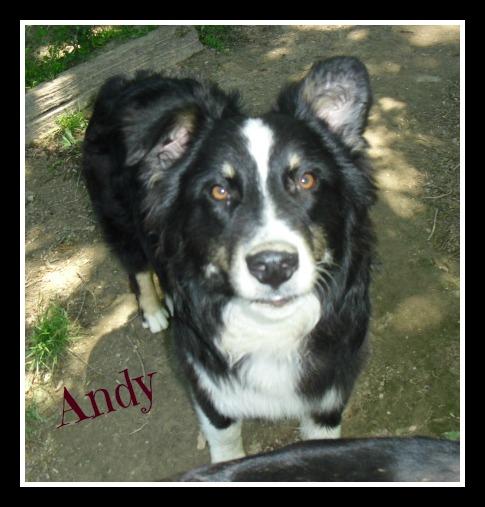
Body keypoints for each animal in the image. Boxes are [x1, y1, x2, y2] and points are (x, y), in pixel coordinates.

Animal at [82, 56, 378, 464]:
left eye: (306, 180)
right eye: (219, 190)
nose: (274, 266)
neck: (270, 327)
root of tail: (123, 82)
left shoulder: (330, 389)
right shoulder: (208, 384)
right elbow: (225, 440)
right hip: (119, 219)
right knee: (137, 265)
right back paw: (155, 311)